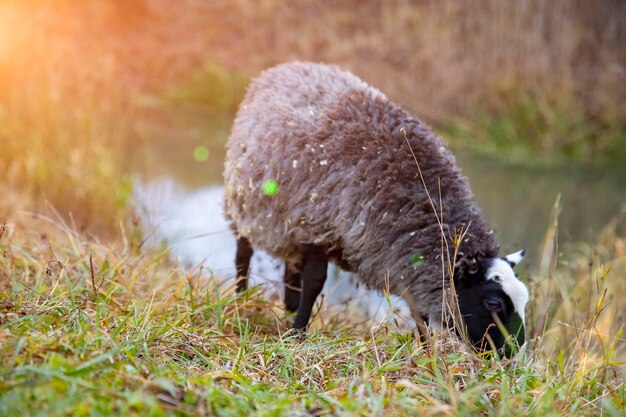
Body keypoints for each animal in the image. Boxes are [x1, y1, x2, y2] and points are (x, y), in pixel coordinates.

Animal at [223, 61, 528, 354]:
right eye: (493, 303)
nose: (514, 350)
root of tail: (285, 67)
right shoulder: (320, 228)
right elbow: (314, 283)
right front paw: (298, 335)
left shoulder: (401, 259)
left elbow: (419, 311)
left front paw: (427, 352)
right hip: (246, 204)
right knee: (243, 254)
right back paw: (241, 299)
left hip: (292, 223)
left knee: (290, 264)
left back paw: (287, 305)